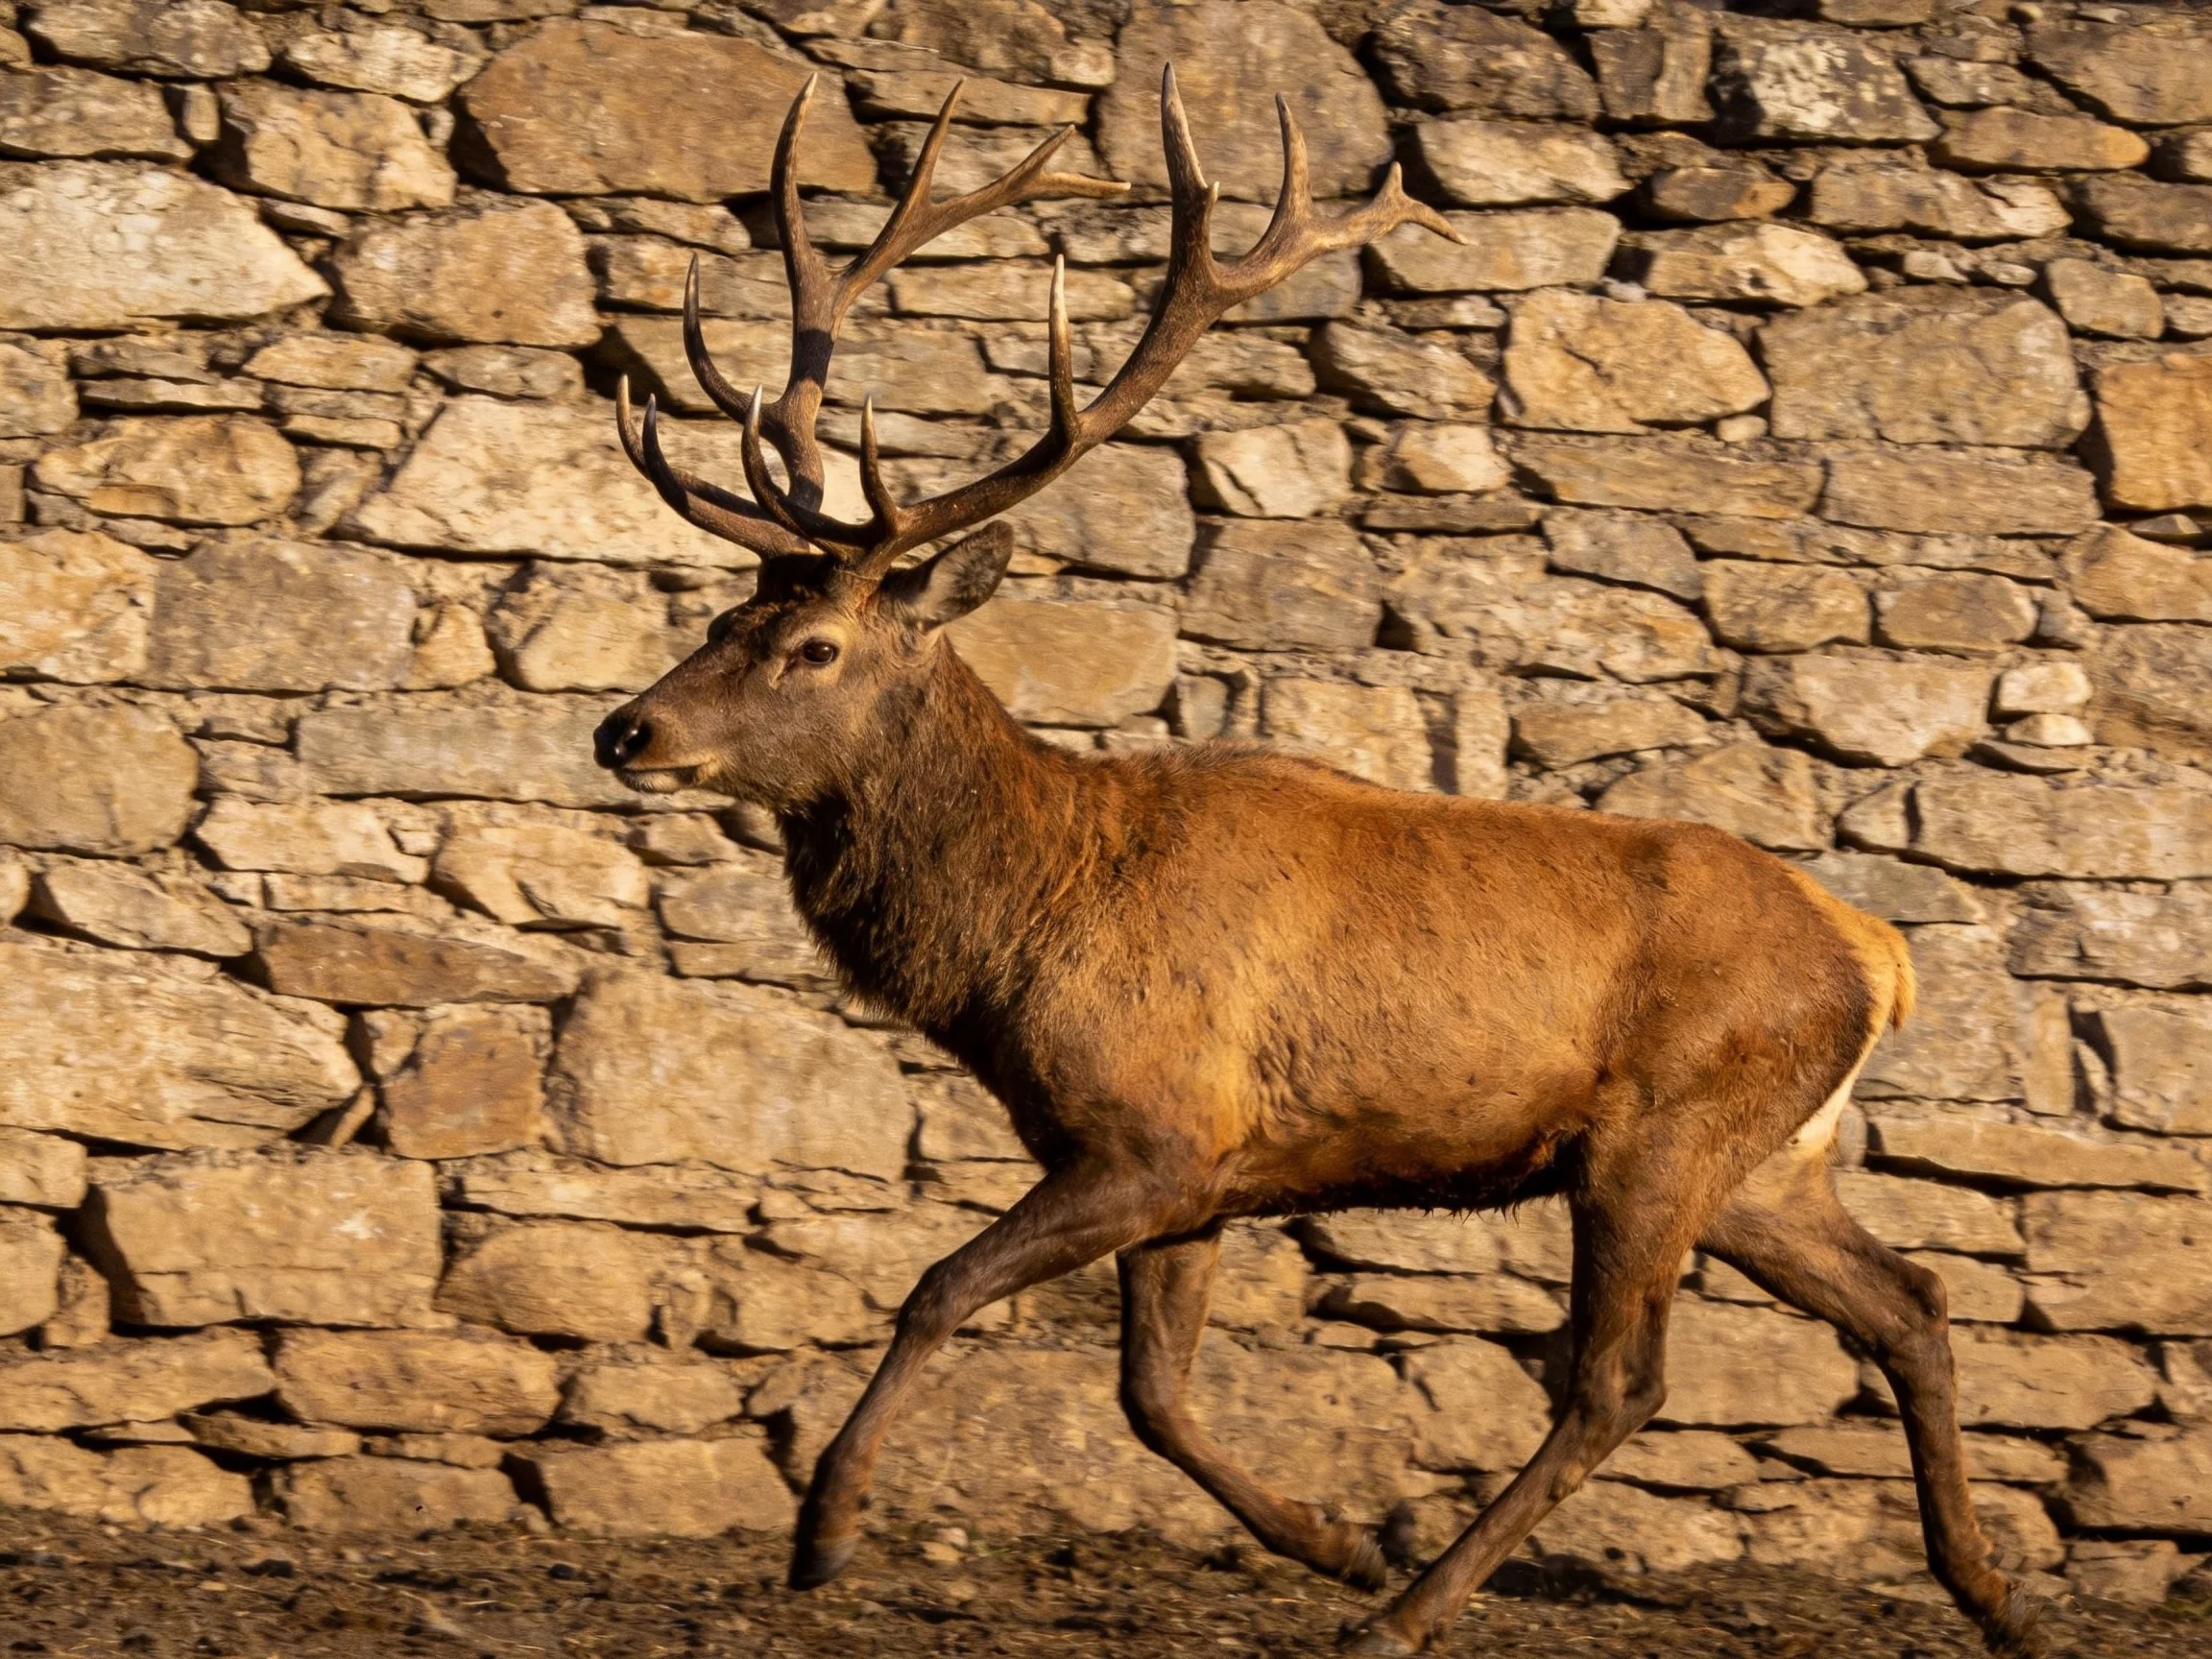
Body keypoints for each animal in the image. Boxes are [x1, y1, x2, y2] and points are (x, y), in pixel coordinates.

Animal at [587, 67, 2041, 1659]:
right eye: (720, 616)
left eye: (813, 646)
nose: (626, 728)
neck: (1017, 939)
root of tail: (1877, 956)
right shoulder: (1198, 1172)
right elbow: (1151, 1396)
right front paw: (1335, 1538)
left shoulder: (1152, 1133)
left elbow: (937, 1287)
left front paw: (826, 1529)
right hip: (1773, 1164)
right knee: (1914, 1300)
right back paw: (1992, 1593)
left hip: (1665, 1137)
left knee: (1623, 1380)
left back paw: (1413, 1612)